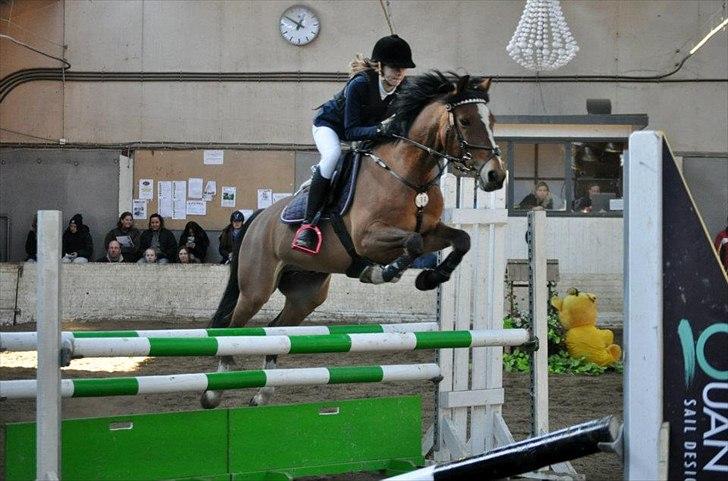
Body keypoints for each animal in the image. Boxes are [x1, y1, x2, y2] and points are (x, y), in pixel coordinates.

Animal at [199, 72, 506, 408]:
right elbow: (410, 244)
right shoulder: (368, 239)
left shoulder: (431, 232)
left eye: (492, 120)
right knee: (233, 329)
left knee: (275, 330)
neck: (410, 175)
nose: (496, 176)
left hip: (307, 294)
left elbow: (462, 240)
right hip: (256, 288)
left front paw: (430, 278)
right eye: (465, 121)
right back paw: (214, 391)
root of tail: (258, 218)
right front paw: (383, 273)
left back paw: (262, 393)